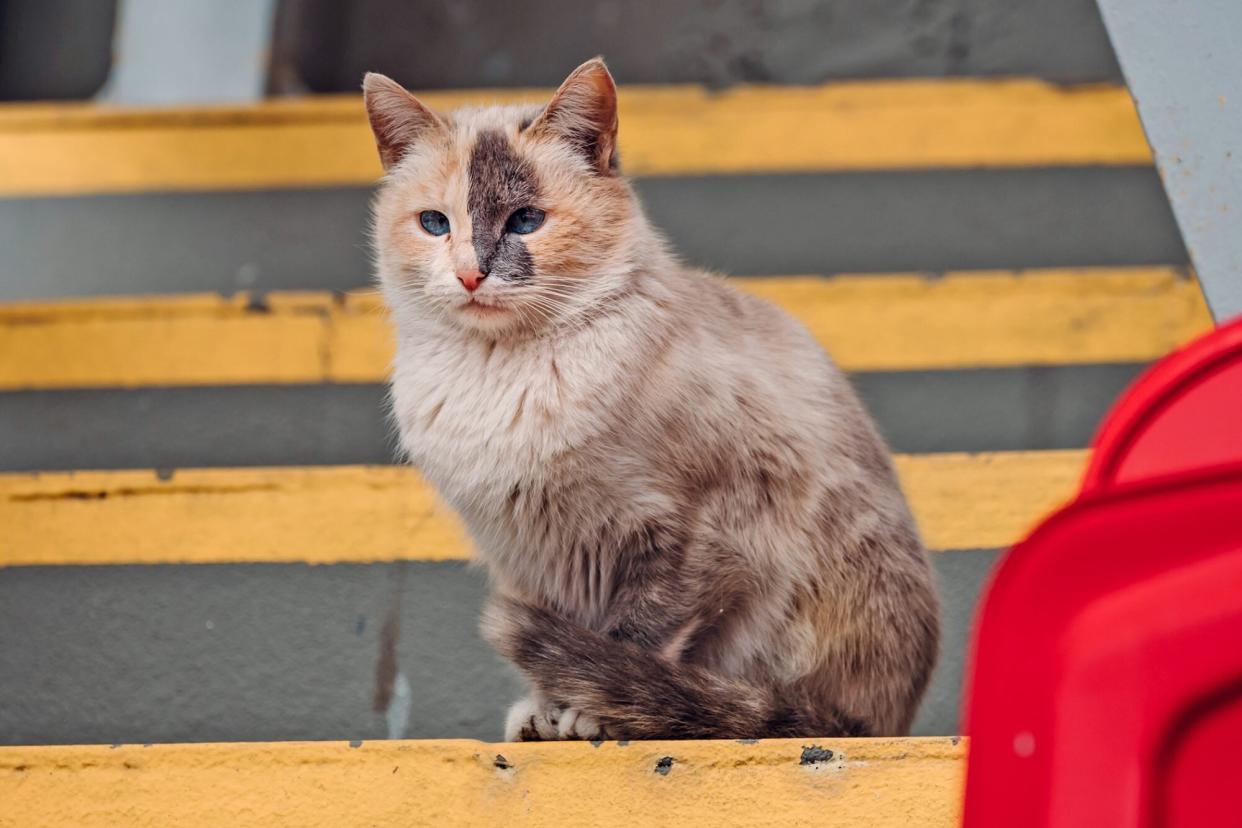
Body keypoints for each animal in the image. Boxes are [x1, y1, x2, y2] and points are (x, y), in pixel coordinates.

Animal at [362, 59, 933, 744]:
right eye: (435, 224)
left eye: (526, 221)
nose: (471, 275)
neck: (500, 378)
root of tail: (883, 726)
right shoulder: (526, 557)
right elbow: (565, 654)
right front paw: (545, 716)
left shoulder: (692, 536)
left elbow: (633, 641)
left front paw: (590, 716)